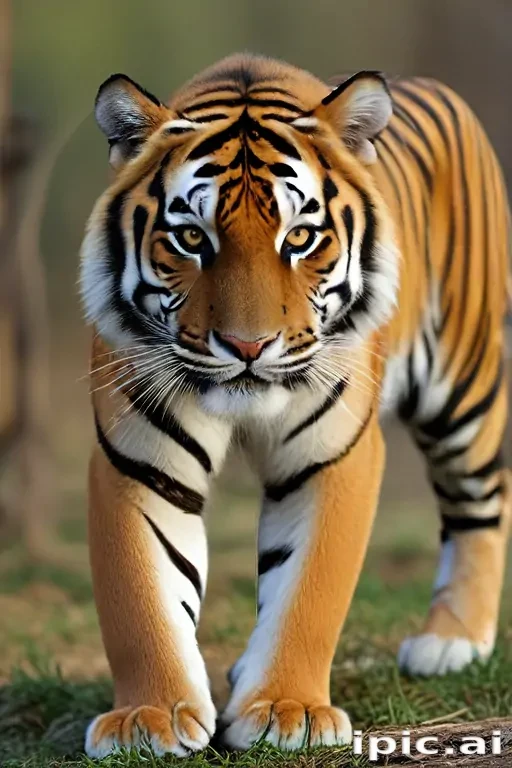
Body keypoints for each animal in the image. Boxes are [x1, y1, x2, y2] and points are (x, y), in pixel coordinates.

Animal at [80, 53, 511, 757]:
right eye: (191, 237)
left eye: (301, 237)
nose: (248, 346)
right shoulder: (137, 459)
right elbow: (141, 597)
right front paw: (149, 718)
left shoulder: (333, 455)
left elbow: (308, 591)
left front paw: (289, 709)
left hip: (463, 383)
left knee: (481, 501)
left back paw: (452, 640)